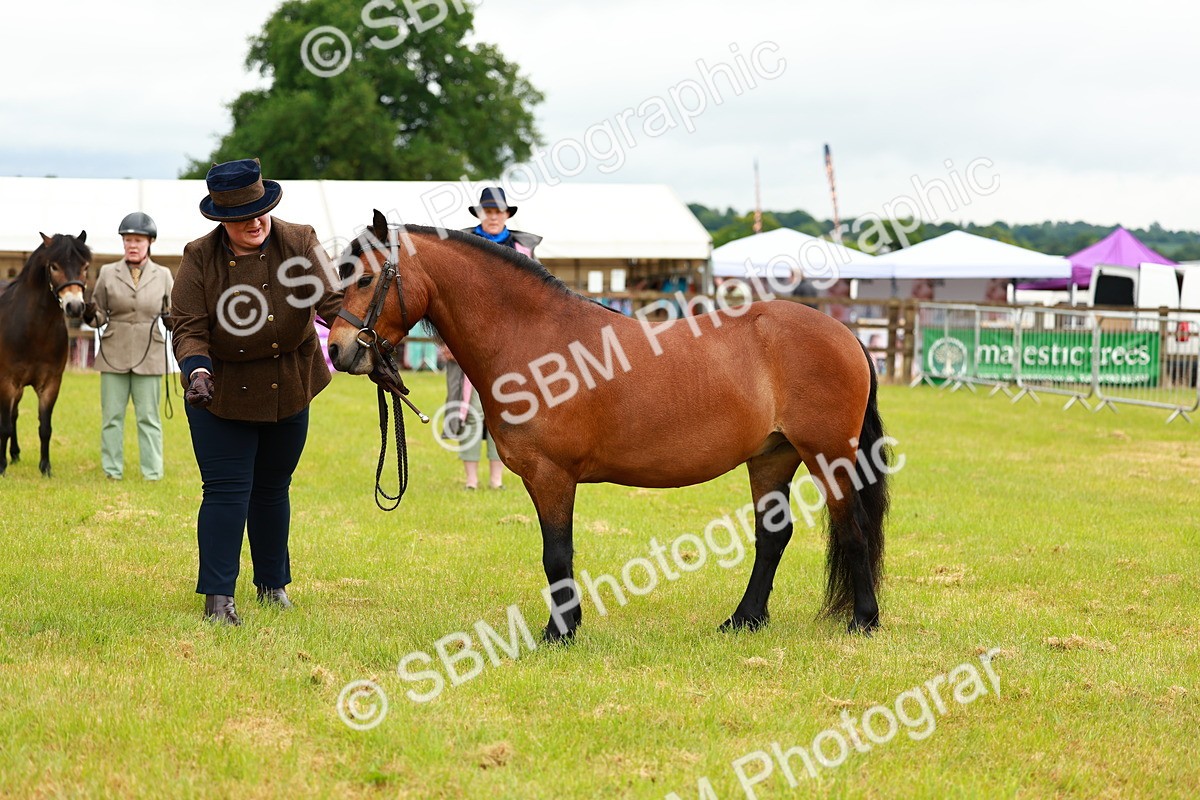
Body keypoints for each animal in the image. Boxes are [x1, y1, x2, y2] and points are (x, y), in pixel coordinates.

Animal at [0, 232, 91, 476]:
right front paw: (1, 468)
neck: (35, 329)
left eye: (85, 266)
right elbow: (4, 426)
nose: (74, 307)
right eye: (54, 266)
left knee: (14, 414)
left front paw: (45, 468)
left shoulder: (50, 384)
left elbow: (45, 428)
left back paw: (15, 453)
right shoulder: (7, 382)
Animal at [327, 211, 889, 639]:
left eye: (364, 277)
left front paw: (559, 632)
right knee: (773, 536)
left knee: (853, 528)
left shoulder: (551, 476)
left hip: (828, 455)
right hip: (772, 457)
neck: (534, 339)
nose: (338, 349)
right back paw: (744, 620)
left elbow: (557, 555)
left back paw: (863, 620)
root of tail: (845, 334)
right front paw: (566, 625)